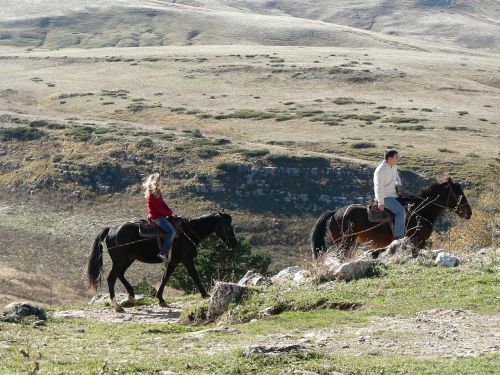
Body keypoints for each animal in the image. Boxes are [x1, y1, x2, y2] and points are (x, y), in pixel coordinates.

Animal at [87, 213, 237, 312]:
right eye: (228, 226)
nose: (234, 244)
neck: (187, 233)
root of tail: (111, 230)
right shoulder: (187, 259)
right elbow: (195, 276)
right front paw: (206, 295)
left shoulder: (173, 262)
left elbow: (165, 278)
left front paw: (161, 299)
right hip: (120, 260)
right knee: (112, 278)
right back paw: (117, 305)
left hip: (128, 259)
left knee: (120, 275)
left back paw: (130, 295)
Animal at [310, 178, 470, 260]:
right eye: (458, 194)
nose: (469, 213)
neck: (420, 210)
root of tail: (334, 212)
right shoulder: (418, 241)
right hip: (345, 242)